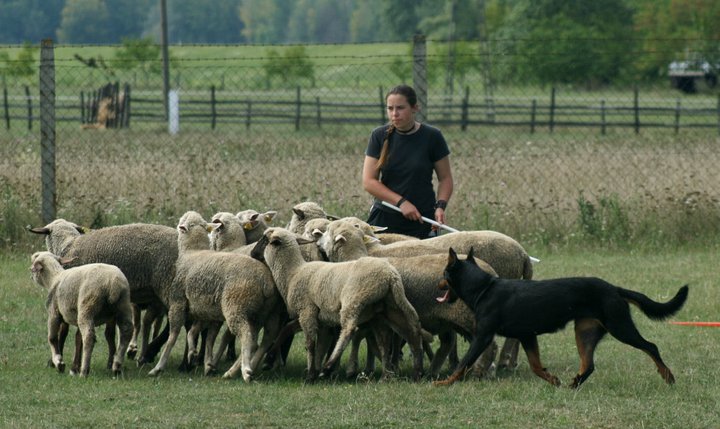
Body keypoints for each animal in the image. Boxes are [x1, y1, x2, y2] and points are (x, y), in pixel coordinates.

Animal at [28, 219, 177, 366]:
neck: (69, 245)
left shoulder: (67, 298)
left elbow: (63, 331)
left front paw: (55, 360)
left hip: (168, 286)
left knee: (172, 325)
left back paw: (150, 353)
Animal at [148, 211, 282, 382]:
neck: (192, 251)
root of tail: (265, 281)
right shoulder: (207, 309)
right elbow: (204, 335)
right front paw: (204, 362)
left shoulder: (177, 302)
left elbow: (173, 336)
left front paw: (158, 367)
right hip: (265, 312)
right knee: (263, 339)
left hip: (235, 306)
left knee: (248, 338)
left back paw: (245, 371)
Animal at [250, 227, 430, 382]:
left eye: (264, 239)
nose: (252, 254)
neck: (293, 272)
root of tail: (391, 276)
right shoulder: (313, 316)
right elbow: (288, 331)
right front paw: (269, 359)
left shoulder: (307, 311)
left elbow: (310, 343)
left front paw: (311, 375)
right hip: (388, 309)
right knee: (403, 334)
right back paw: (405, 373)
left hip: (354, 301)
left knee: (350, 330)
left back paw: (329, 366)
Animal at [436, 246, 688, 386]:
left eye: (444, 273)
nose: (437, 283)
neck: (483, 288)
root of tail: (614, 288)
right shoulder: (527, 336)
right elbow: (536, 366)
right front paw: (553, 380)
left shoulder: (483, 337)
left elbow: (464, 364)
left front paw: (443, 383)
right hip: (585, 331)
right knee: (589, 364)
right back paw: (574, 384)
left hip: (620, 326)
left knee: (651, 346)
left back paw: (668, 376)